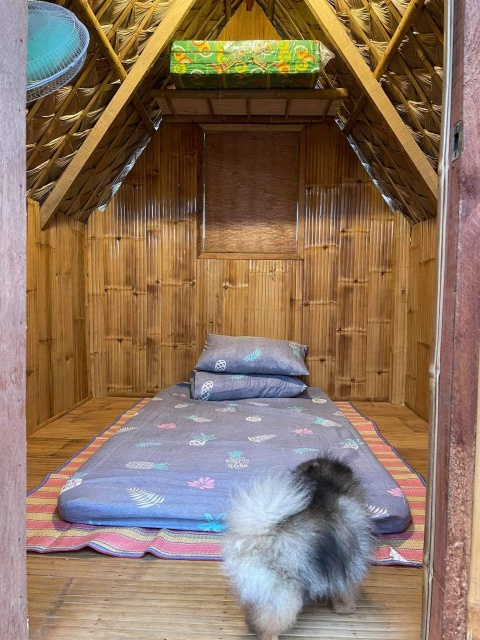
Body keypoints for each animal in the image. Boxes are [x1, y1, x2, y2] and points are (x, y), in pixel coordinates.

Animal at [221, 456, 376, 640]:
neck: (325, 487)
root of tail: (256, 538)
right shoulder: (350, 564)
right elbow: (346, 591)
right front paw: (346, 608)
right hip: (284, 592)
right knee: (272, 620)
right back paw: (270, 635)